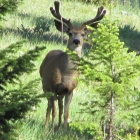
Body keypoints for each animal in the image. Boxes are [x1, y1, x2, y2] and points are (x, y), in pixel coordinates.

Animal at [39, 0, 105, 131]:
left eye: (83, 34)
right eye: (70, 33)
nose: (76, 41)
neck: (67, 74)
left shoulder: (70, 90)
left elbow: (66, 113)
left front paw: (63, 131)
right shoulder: (53, 87)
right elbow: (54, 111)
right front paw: (51, 131)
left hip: (60, 93)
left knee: (59, 106)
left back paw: (59, 126)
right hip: (45, 86)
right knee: (49, 107)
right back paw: (46, 127)